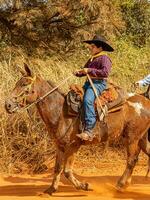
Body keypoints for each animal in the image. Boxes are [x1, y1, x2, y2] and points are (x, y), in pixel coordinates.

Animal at [4, 64, 150, 195]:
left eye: (24, 84)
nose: (8, 105)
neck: (60, 112)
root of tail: (146, 101)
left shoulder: (74, 145)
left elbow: (67, 171)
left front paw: (84, 186)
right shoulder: (60, 145)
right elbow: (57, 168)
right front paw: (51, 189)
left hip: (132, 138)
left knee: (131, 160)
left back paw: (120, 185)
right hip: (141, 138)